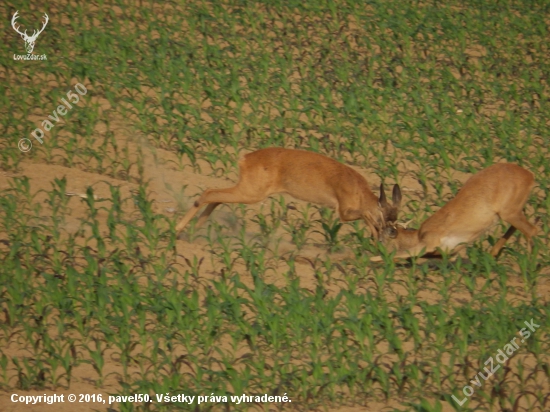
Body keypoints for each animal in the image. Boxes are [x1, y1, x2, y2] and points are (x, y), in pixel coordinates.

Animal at [176, 147, 402, 238]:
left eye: (396, 219)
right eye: (384, 217)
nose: (392, 233)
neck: (358, 189)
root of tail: (245, 159)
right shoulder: (343, 210)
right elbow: (364, 215)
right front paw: (375, 235)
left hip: (247, 190)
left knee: (215, 197)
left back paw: (193, 232)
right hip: (252, 192)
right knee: (209, 192)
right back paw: (178, 230)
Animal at [370, 163, 540, 262]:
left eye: (381, 239)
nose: (381, 249)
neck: (418, 235)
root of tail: (530, 176)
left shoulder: (429, 244)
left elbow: (397, 255)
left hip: (509, 212)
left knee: (532, 230)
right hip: (513, 211)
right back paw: (493, 255)